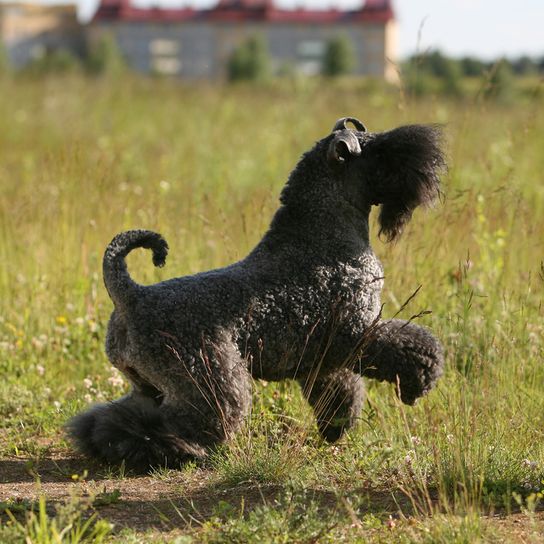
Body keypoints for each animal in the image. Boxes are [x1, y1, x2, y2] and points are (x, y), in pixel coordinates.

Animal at [67, 117, 446, 470]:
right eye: (379, 152)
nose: (431, 162)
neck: (322, 234)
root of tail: (130, 296)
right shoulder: (357, 332)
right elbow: (411, 344)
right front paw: (421, 380)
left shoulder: (321, 355)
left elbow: (340, 389)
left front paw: (336, 426)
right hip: (211, 379)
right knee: (179, 422)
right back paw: (175, 449)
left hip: (149, 384)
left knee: (116, 417)